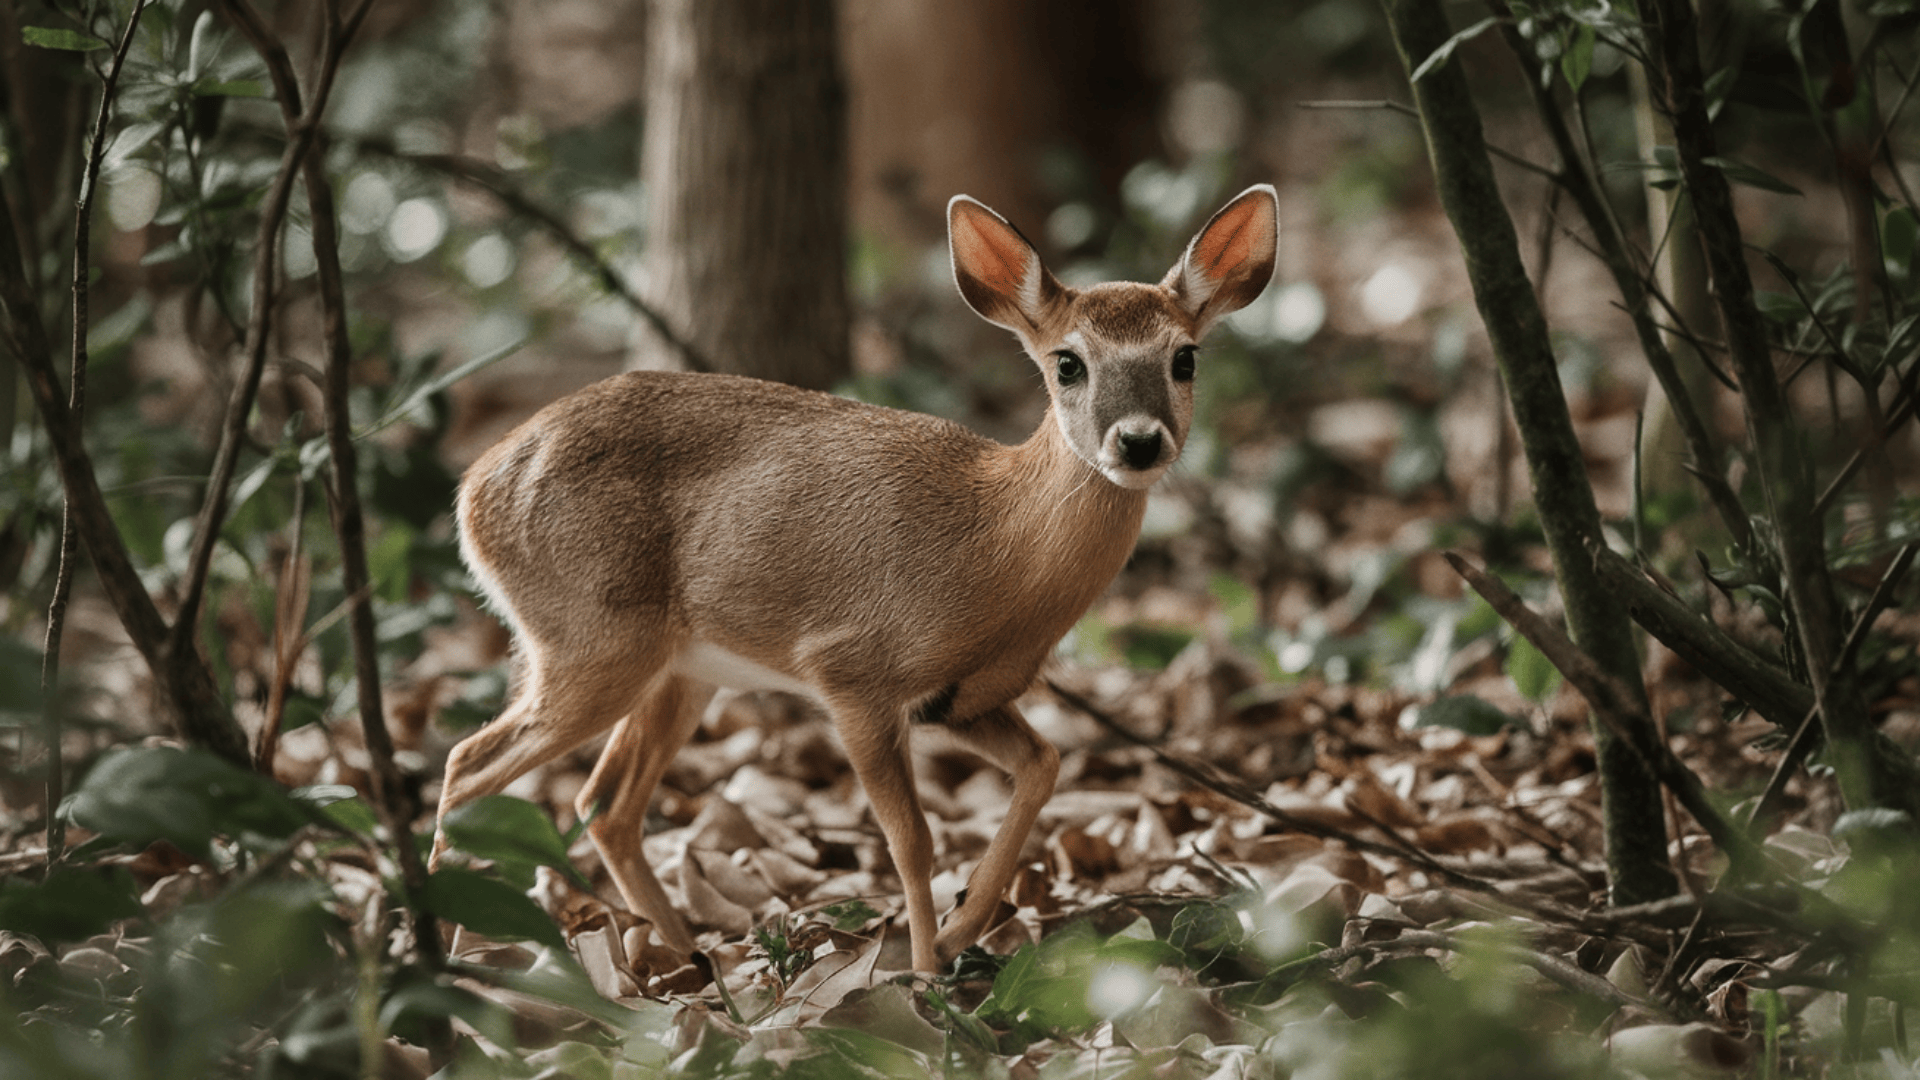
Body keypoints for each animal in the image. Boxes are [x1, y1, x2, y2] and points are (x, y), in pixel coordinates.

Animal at [433, 180, 1274, 972]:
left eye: (1185, 357)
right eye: (1068, 363)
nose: (1139, 441)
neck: (994, 554)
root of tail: (473, 492)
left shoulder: (965, 699)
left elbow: (1044, 765)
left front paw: (965, 927)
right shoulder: (850, 670)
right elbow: (913, 840)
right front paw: (926, 971)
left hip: (676, 667)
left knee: (603, 802)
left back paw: (685, 955)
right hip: (589, 638)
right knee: (467, 764)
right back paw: (449, 950)